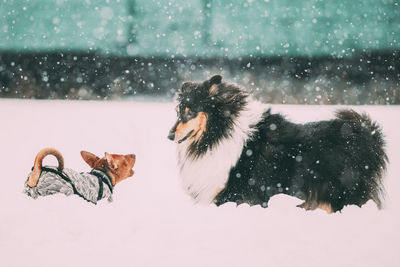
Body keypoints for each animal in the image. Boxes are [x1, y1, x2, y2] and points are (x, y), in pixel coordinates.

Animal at [168, 75, 388, 214]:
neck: (222, 131)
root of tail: (367, 135)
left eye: (190, 111)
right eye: (178, 111)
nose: (169, 136)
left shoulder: (233, 193)